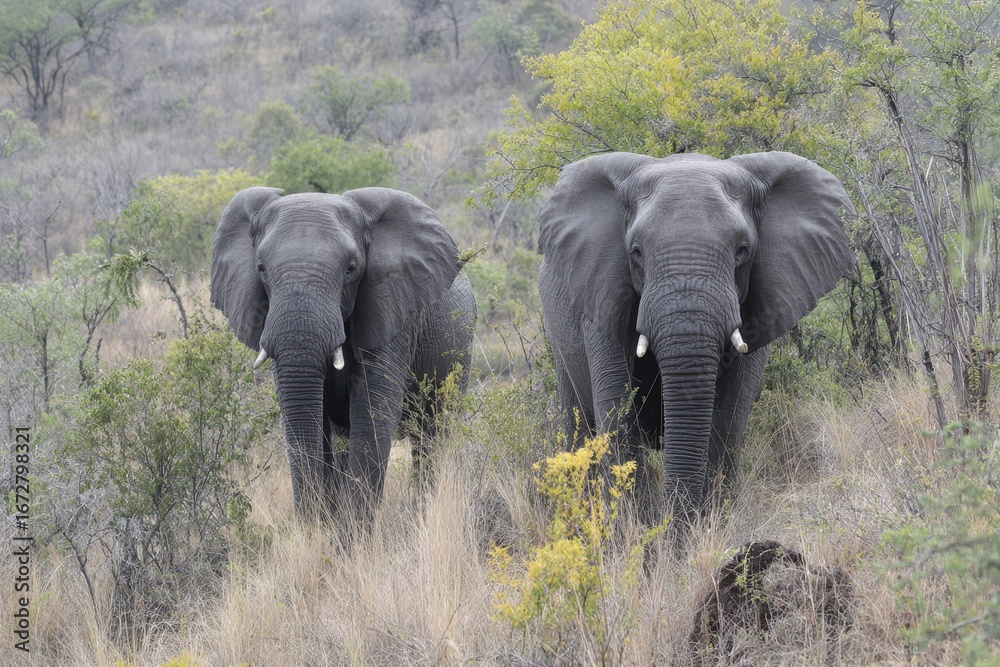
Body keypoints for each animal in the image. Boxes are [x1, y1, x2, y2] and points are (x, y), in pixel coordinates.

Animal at [210, 186, 477, 520]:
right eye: (261, 269)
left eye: (351, 269)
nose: (308, 527)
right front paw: (326, 529)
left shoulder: (392, 308)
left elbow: (371, 410)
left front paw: (354, 532)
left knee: (432, 433)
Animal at [537, 151, 855, 526]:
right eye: (636, 251)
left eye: (742, 250)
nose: (672, 530)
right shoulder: (602, 291)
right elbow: (616, 409)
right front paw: (634, 533)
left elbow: (731, 410)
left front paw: (714, 523)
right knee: (578, 421)